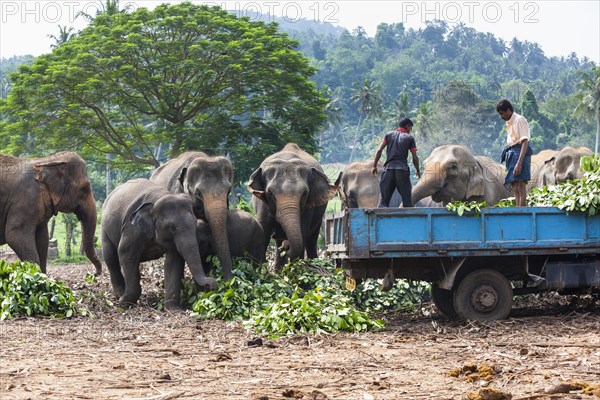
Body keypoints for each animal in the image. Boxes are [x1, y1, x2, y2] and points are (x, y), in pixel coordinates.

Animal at [101, 178, 216, 310]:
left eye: (194, 223)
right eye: (172, 227)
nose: (212, 284)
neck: (159, 199)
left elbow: (173, 263)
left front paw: (174, 310)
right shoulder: (132, 228)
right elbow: (126, 254)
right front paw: (123, 303)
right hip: (104, 227)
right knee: (111, 257)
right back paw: (119, 294)